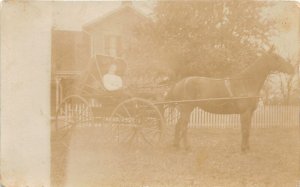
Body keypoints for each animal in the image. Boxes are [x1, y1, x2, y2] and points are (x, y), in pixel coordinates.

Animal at [166, 49, 296, 152]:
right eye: (276, 58)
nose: (292, 69)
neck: (246, 83)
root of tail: (179, 83)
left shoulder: (250, 113)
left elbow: (248, 130)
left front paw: (247, 148)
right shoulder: (244, 113)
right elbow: (245, 130)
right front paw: (243, 149)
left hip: (185, 110)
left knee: (178, 125)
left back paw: (176, 146)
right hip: (186, 109)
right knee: (183, 127)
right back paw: (187, 147)